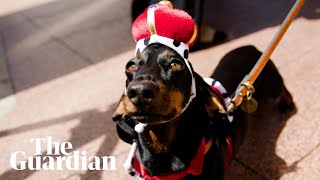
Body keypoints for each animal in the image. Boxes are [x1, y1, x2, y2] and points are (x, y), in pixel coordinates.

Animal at [112, 44, 296, 179]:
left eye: (175, 64)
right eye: (131, 65)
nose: (140, 91)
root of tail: (250, 46)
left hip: (271, 83)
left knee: (283, 89)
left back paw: (286, 105)